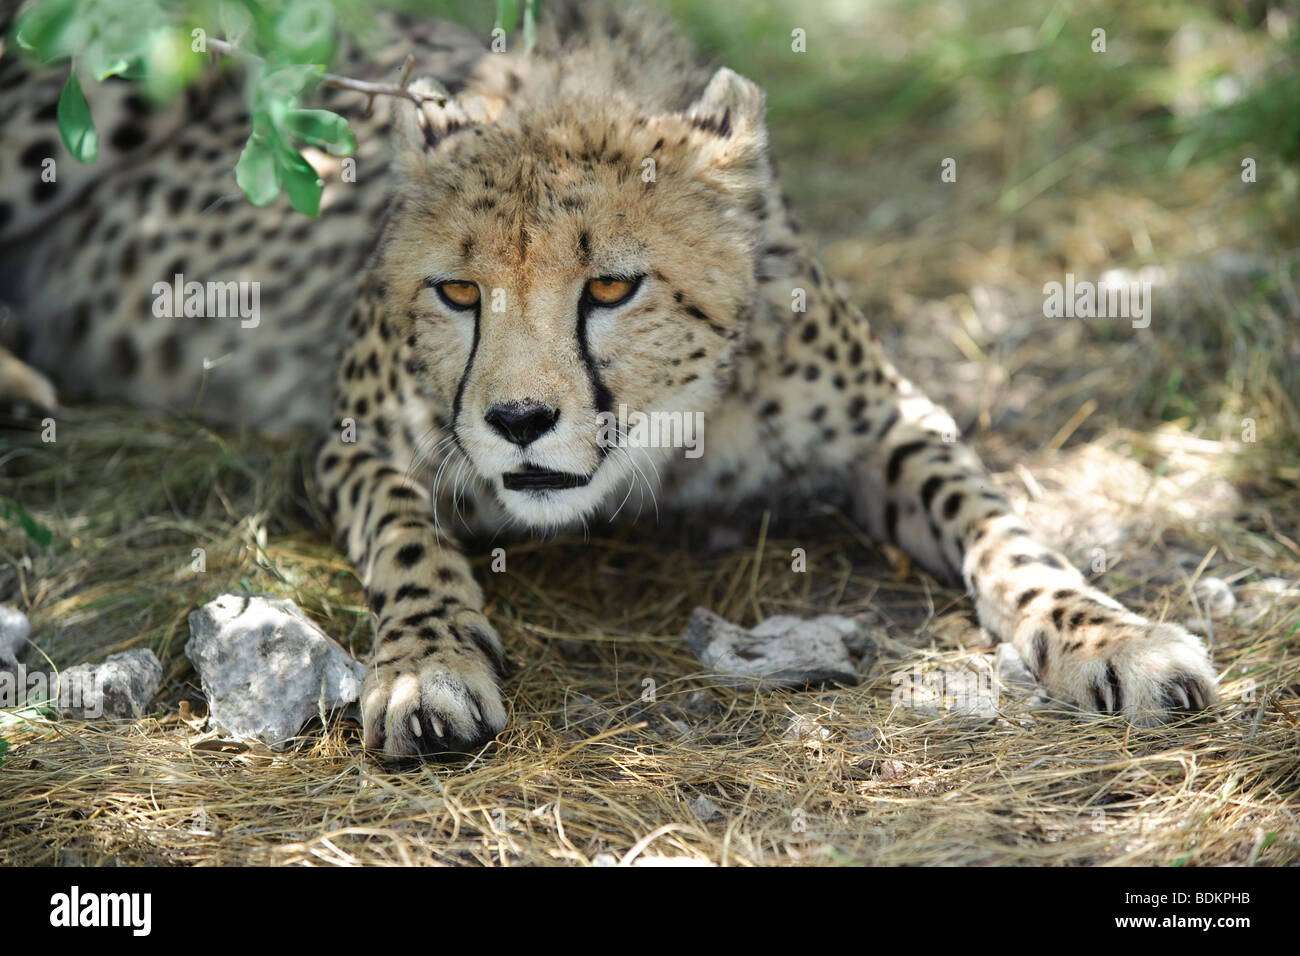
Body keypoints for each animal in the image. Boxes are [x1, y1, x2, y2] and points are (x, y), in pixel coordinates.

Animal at [0, 1, 1216, 764]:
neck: (674, 431)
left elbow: (1003, 526)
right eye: (457, 290)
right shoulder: (355, 438)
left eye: (613, 285)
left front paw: (1109, 636)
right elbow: (409, 533)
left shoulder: (892, 416)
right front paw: (428, 663)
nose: (519, 421)